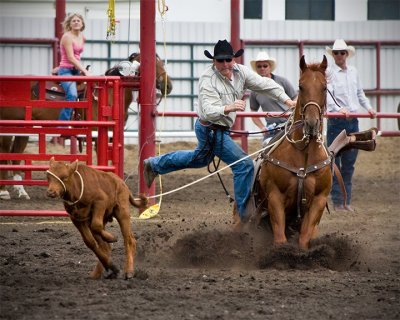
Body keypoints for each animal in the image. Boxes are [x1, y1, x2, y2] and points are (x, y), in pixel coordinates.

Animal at [0, 52, 172, 200]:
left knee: (16, 155)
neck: (110, 94)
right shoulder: (98, 134)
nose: (168, 86)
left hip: (22, 130)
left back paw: (21, 191)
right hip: (8, 129)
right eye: (151, 64)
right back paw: (4, 192)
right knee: (5, 154)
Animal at [256, 55, 332, 250]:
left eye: (324, 87)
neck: (303, 155)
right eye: (301, 86)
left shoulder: (319, 200)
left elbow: (304, 239)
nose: (311, 124)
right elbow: (280, 238)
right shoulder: (274, 196)